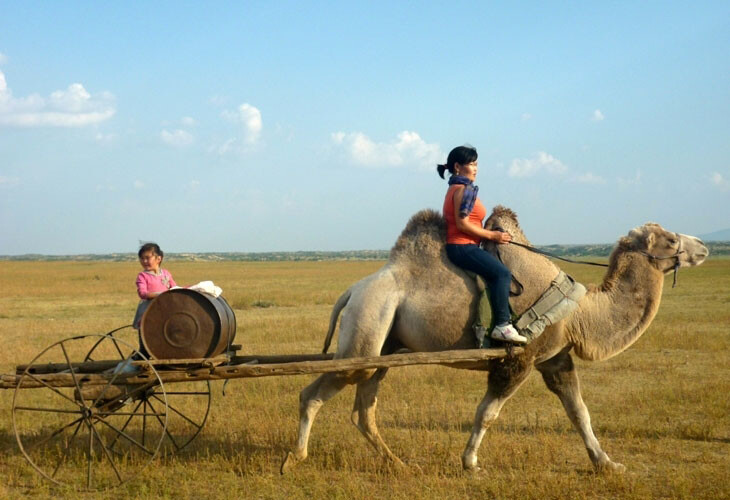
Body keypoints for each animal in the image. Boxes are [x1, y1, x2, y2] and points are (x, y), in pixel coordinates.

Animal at [278, 207, 704, 472]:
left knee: (363, 409)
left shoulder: (555, 358)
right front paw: (470, 463)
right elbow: (488, 412)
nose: (701, 247)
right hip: (366, 328)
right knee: (314, 392)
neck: (580, 313)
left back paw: (396, 462)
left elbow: (578, 411)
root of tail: (351, 292)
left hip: (383, 346)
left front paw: (607, 464)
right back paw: (293, 459)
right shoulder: (518, 359)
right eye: (669, 239)